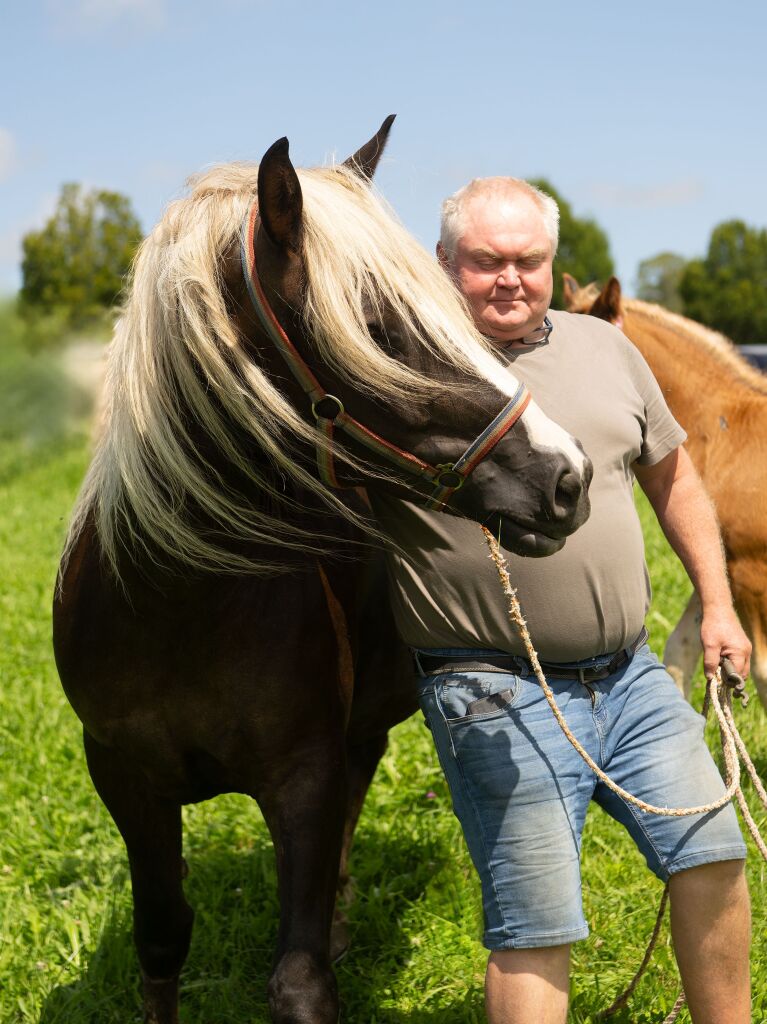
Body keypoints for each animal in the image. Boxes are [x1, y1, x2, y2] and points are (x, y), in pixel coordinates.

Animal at [52, 116, 593, 1019]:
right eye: (379, 328)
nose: (568, 477)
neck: (175, 605)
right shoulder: (125, 779)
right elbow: (160, 938)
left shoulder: (303, 776)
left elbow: (301, 977)